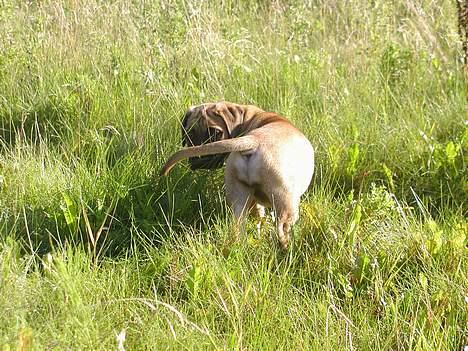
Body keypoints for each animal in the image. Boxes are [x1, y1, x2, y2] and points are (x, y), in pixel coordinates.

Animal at [159, 102, 316, 250]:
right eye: (190, 134)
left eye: (216, 133)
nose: (199, 160)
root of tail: (254, 140)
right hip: (285, 202)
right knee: (282, 229)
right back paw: (287, 250)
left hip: (239, 199)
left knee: (237, 226)